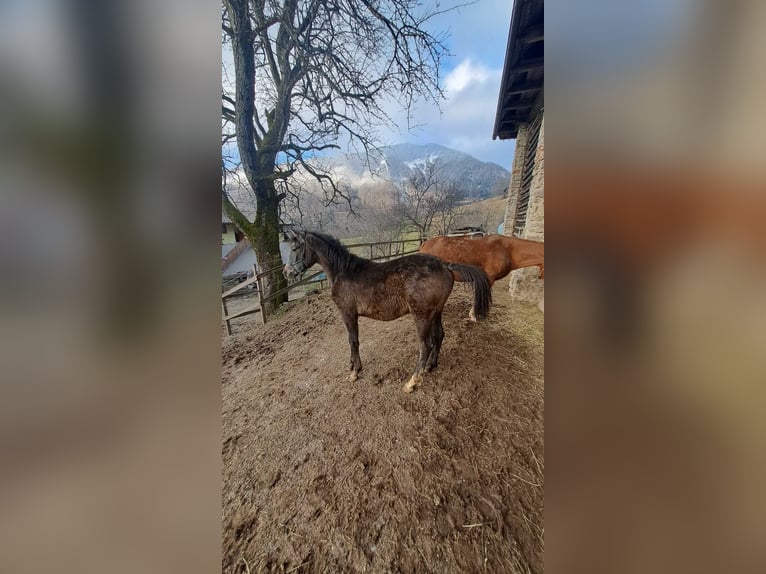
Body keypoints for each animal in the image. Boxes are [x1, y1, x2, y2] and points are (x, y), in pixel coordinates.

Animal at [283, 230, 492, 393]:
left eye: (294, 249)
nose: (286, 272)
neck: (344, 272)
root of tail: (445, 264)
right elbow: (350, 340)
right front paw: (351, 365)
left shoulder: (348, 312)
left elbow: (353, 340)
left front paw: (355, 372)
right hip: (436, 312)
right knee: (439, 336)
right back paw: (430, 367)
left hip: (421, 315)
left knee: (425, 345)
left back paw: (412, 382)